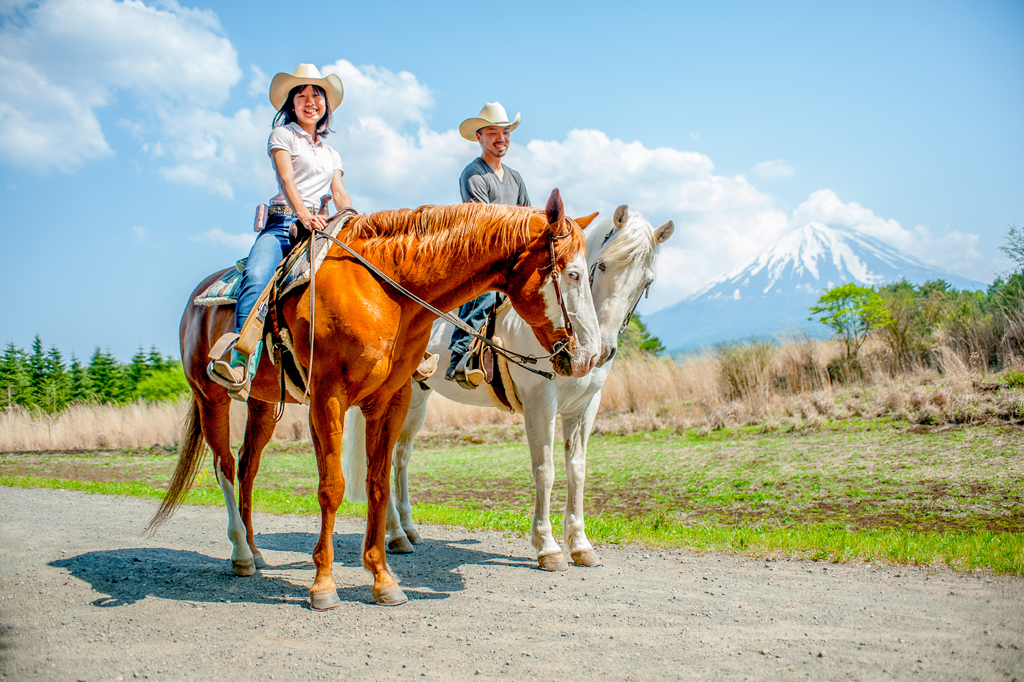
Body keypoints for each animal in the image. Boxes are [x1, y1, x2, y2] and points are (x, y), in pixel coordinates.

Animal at [149, 189, 598, 606]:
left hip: (262, 405)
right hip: (211, 397)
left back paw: (256, 552)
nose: (590, 356)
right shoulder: (327, 399)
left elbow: (377, 483)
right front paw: (323, 585)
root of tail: (198, 297)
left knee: (247, 467)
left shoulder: (390, 400)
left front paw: (383, 578)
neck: (385, 291)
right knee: (224, 466)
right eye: (573, 274)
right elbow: (332, 486)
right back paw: (241, 552)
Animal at [339, 205, 671, 569]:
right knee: (382, 461)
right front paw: (547, 546)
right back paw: (396, 533)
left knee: (399, 458)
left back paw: (407, 531)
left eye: (647, 282)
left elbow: (577, 471)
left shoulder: (586, 407)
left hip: (417, 399)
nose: (603, 350)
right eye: (602, 265)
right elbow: (545, 470)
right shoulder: (541, 402)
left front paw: (581, 545)